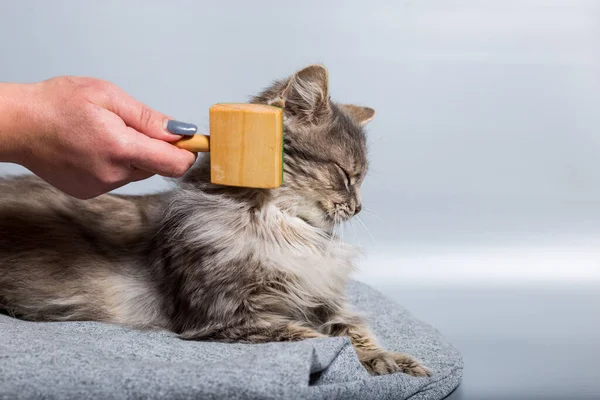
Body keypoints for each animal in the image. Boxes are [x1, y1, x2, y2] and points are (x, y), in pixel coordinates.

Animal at [1, 64, 432, 376]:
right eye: (346, 175)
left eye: (360, 180)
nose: (357, 207)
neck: (280, 228)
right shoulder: (231, 314)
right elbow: (321, 341)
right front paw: (371, 362)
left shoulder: (321, 297)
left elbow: (355, 331)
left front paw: (396, 361)